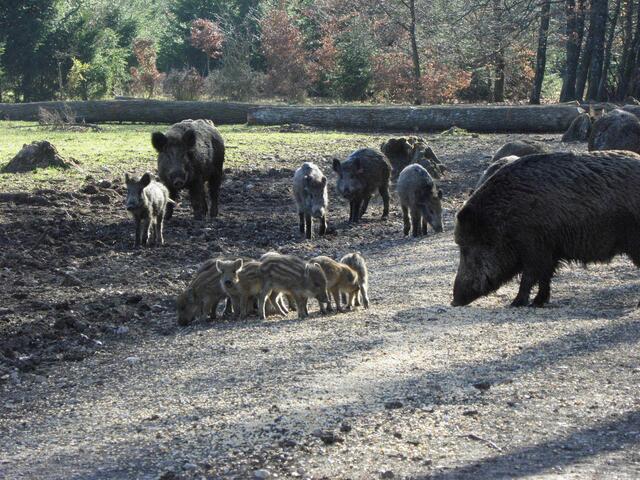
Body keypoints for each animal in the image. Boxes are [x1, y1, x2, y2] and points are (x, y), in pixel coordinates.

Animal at [452, 150, 640, 308]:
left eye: (466, 249)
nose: (454, 301)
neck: (504, 220)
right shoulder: (550, 251)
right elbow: (544, 278)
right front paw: (538, 303)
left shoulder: (535, 248)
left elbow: (529, 278)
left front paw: (516, 303)